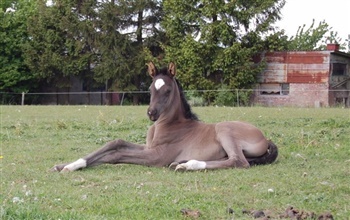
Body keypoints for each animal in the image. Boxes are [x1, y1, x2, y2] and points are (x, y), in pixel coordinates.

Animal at [52, 62, 278, 172]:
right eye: (151, 88)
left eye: (168, 90)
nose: (151, 113)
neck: (169, 125)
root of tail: (266, 138)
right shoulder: (148, 147)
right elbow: (115, 143)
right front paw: (66, 165)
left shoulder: (157, 156)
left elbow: (116, 155)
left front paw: (69, 167)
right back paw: (184, 162)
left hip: (224, 129)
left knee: (239, 161)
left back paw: (186, 166)